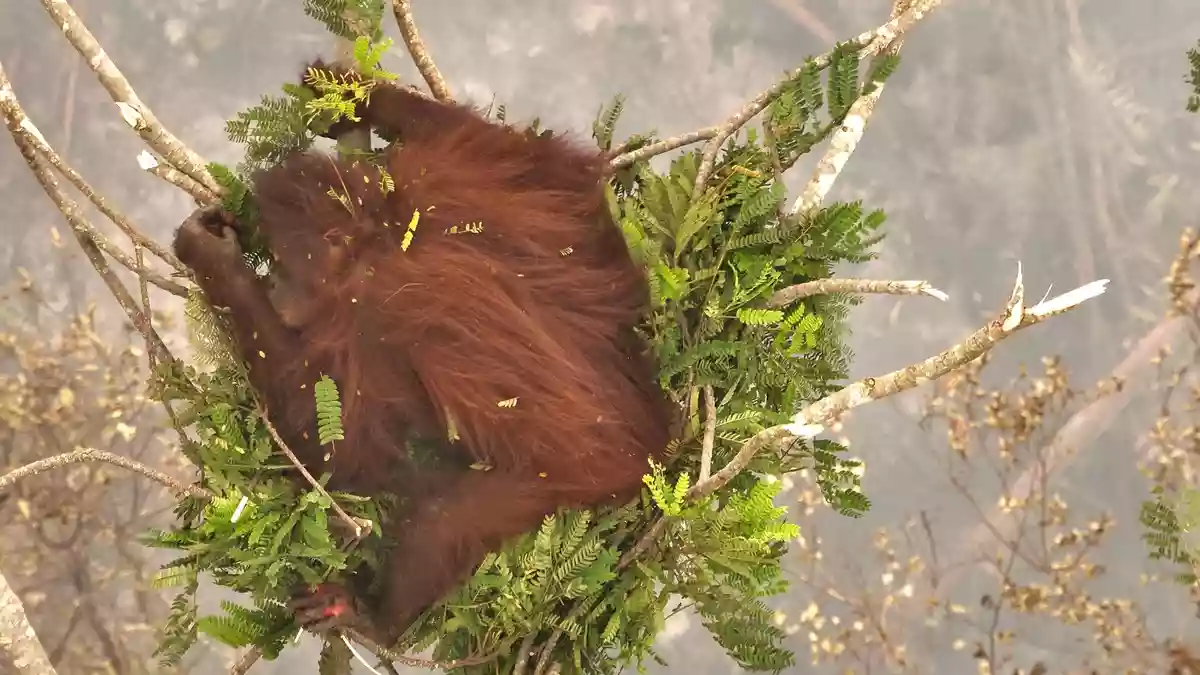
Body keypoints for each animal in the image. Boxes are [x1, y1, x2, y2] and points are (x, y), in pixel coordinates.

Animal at [172, 60, 673, 643]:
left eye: (280, 265)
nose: (272, 288)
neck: (383, 227)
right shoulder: (452, 174)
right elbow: (540, 163)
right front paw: (353, 92)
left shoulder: (377, 310)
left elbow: (348, 453)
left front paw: (215, 262)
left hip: (577, 475)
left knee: (445, 512)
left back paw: (376, 619)